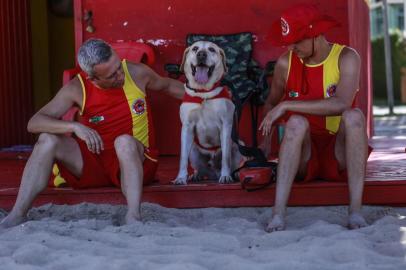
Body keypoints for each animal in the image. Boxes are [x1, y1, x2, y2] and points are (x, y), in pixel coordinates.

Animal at [174, 41, 243, 185]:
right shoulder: (187, 127)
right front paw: (181, 178)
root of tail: (214, 173)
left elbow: (226, 158)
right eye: (195, 49)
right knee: (202, 169)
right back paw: (196, 175)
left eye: (211, 49)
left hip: (238, 146)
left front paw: (226, 176)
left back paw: (232, 174)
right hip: (194, 150)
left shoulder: (226, 125)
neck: (203, 93)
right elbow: (182, 158)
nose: (201, 54)